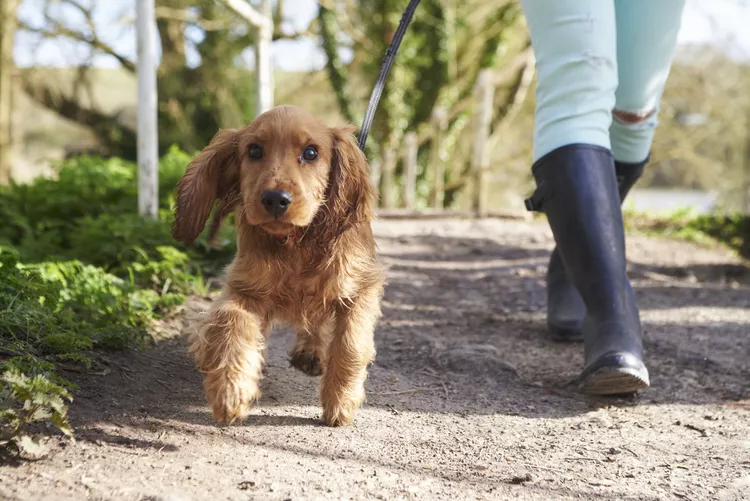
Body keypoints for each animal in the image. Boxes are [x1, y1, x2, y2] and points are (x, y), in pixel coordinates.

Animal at [173, 104, 384, 426]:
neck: (295, 243)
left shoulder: (359, 287)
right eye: (254, 150)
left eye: (311, 153)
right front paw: (230, 390)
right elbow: (230, 322)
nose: (275, 199)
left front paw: (341, 402)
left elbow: (350, 344)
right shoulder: (244, 288)